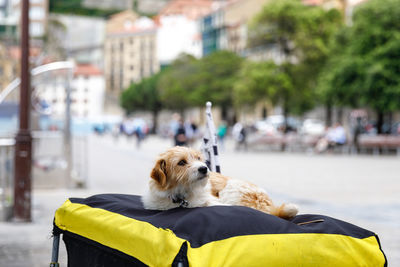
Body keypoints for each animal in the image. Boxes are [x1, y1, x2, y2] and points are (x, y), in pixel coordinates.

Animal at [142, 147, 298, 220]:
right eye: (181, 162)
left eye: (198, 158)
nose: (204, 168)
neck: (181, 197)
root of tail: (270, 206)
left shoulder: (214, 200)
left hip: (231, 189)